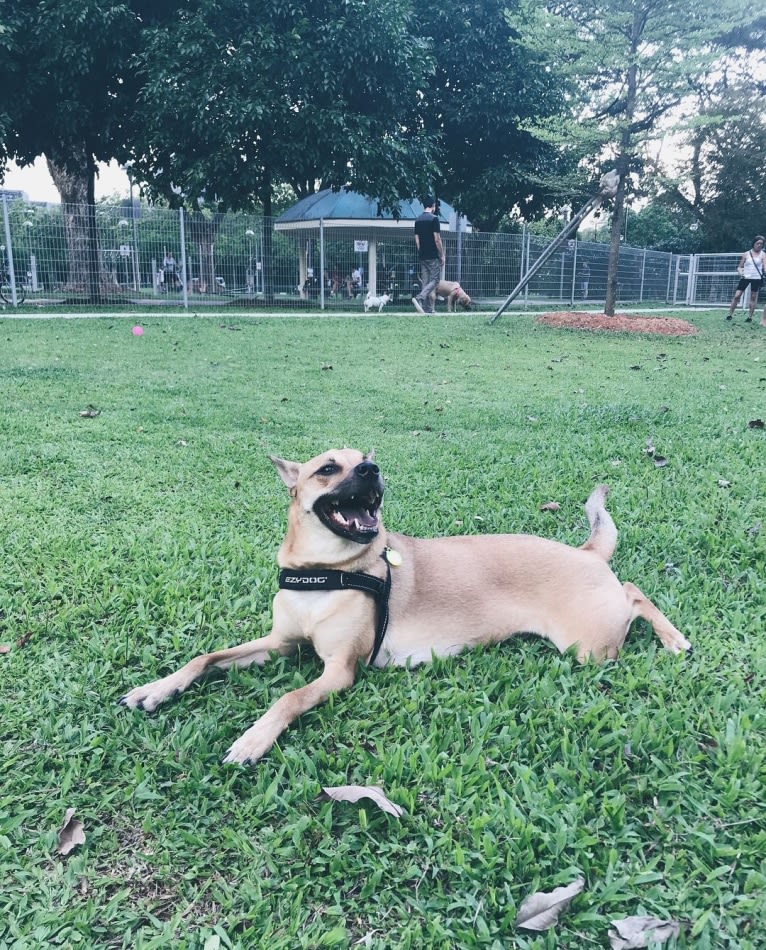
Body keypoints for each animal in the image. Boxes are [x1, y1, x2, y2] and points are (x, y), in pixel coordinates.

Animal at [118, 448, 688, 768]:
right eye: (328, 469)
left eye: (363, 460)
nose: (372, 469)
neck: (324, 572)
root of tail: (585, 553)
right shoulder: (280, 645)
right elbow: (206, 658)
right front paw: (156, 689)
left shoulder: (339, 672)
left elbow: (288, 698)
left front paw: (254, 738)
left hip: (587, 644)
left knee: (634, 591)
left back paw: (674, 638)